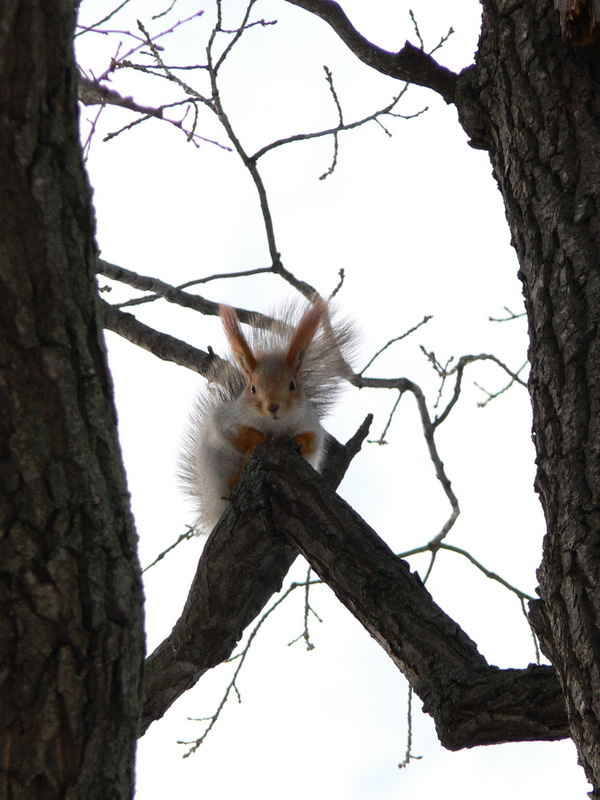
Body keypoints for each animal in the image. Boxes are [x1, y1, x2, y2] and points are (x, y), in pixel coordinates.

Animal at [179, 297, 355, 533]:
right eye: (253, 388)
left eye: (292, 385)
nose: (273, 406)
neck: (275, 426)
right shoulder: (227, 419)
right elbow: (238, 434)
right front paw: (259, 439)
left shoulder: (311, 424)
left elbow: (312, 440)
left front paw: (298, 442)